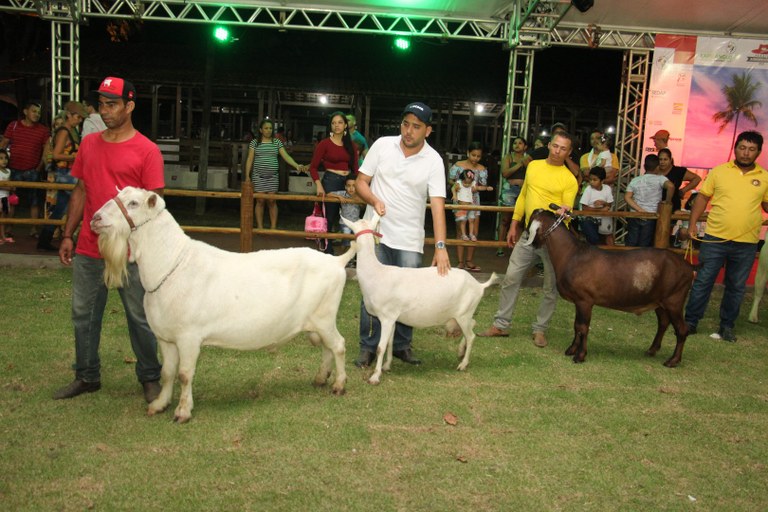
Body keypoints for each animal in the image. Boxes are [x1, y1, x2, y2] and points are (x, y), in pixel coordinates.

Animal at [91, 186, 352, 422]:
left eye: (134, 203)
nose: (95, 218)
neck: (172, 263)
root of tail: (337, 262)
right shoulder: (165, 337)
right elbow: (167, 373)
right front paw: (159, 404)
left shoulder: (188, 336)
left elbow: (184, 374)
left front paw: (183, 412)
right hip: (318, 321)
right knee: (327, 347)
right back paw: (320, 378)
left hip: (325, 316)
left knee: (338, 345)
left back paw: (339, 385)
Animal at [344, 213, 500, 384]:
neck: (376, 273)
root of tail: (479, 285)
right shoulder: (393, 318)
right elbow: (390, 343)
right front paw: (386, 366)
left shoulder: (386, 316)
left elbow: (380, 347)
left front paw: (375, 376)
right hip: (464, 313)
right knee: (473, 325)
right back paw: (460, 351)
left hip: (464, 313)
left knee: (471, 335)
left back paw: (463, 364)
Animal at [524, 208, 692, 368]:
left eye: (530, 218)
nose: (527, 239)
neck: (571, 254)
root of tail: (689, 268)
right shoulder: (579, 301)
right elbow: (576, 326)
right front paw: (571, 349)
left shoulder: (585, 300)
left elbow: (583, 327)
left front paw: (580, 356)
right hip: (660, 301)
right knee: (663, 323)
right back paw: (652, 350)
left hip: (674, 300)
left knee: (682, 329)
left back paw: (673, 360)